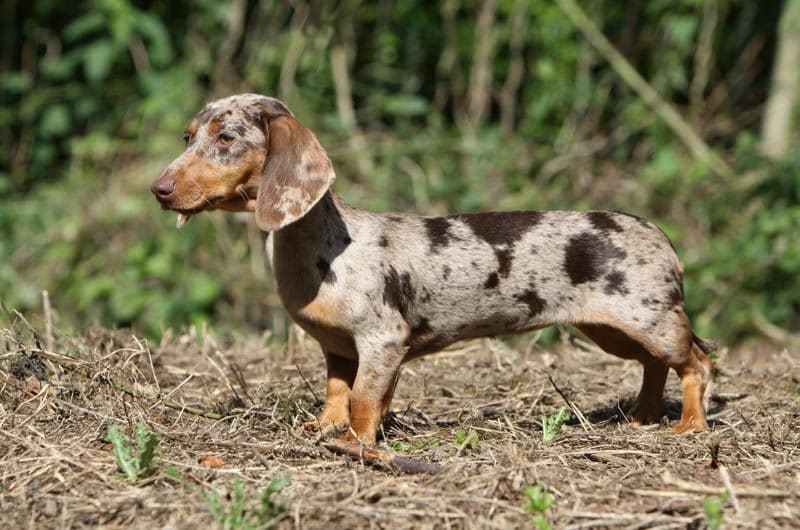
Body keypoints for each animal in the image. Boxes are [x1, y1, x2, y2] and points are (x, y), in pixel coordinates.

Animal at [153, 93, 716, 444]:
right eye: (187, 136)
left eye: (226, 139)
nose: (158, 189)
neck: (325, 247)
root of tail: (662, 236)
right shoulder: (337, 348)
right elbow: (338, 394)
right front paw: (324, 431)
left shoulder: (381, 342)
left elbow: (364, 400)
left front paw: (357, 444)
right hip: (614, 332)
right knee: (655, 367)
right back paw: (642, 418)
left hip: (651, 322)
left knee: (697, 362)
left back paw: (690, 426)